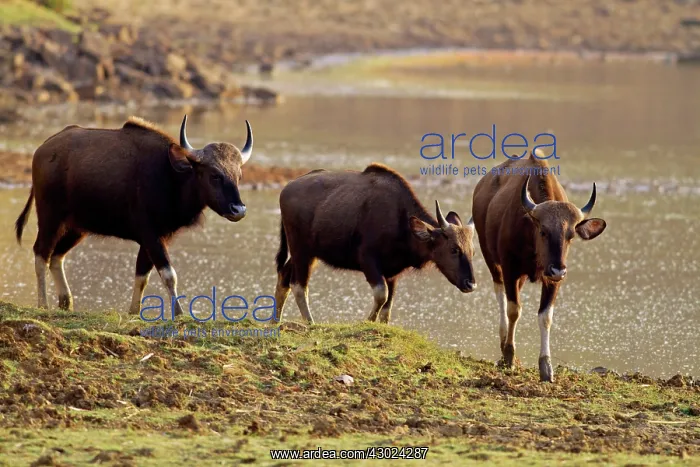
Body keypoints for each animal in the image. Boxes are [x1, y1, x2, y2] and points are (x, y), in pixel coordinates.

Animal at [15, 115, 253, 316]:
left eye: (238, 175)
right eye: (214, 175)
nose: (238, 210)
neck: (172, 178)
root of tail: (42, 150)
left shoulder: (157, 238)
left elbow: (142, 276)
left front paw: (134, 312)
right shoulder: (151, 236)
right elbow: (169, 274)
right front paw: (179, 314)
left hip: (77, 227)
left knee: (57, 256)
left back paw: (66, 302)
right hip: (50, 218)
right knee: (41, 253)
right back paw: (43, 304)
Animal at [273, 163, 477, 324]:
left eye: (473, 252)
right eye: (454, 249)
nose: (471, 285)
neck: (401, 224)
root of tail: (286, 189)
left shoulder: (392, 273)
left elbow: (387, 308)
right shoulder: (368, 260)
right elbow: (381, 294)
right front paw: (367, 321)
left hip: (310, 253)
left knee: (284, 274)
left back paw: (275, 321)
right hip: (301, 250)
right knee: (298, 285)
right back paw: (310, 322)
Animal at [472, 150, 606, 382]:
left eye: (570, 235)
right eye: (543, 231)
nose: (558, 269)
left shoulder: (552, 280)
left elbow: (545, 317)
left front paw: (546, 367)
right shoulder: (510, 269)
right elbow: (514, 310)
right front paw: (509, 356)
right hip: (491, 258)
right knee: (500, 294)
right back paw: (503, 340)